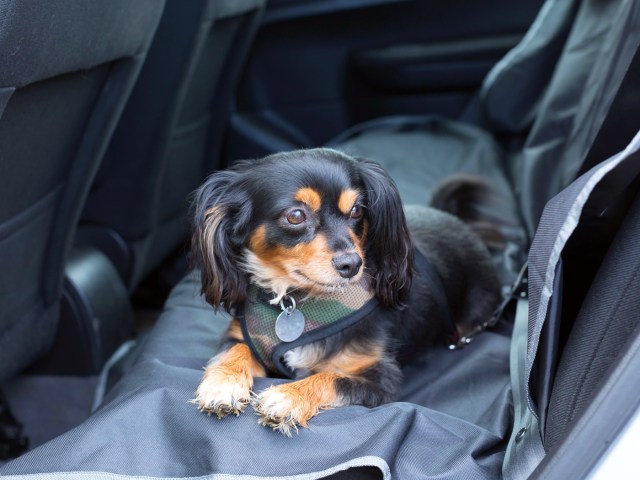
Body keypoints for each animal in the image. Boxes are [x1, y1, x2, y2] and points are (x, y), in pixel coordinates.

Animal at [188, 147, 502, 436]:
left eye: (357, 210)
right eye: (295, 215)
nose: (351, 264)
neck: (299, 301)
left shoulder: (381, 378)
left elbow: (331, 377)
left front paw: (288, 397)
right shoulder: (238, 335)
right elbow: (237, 348)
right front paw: (223, 383)